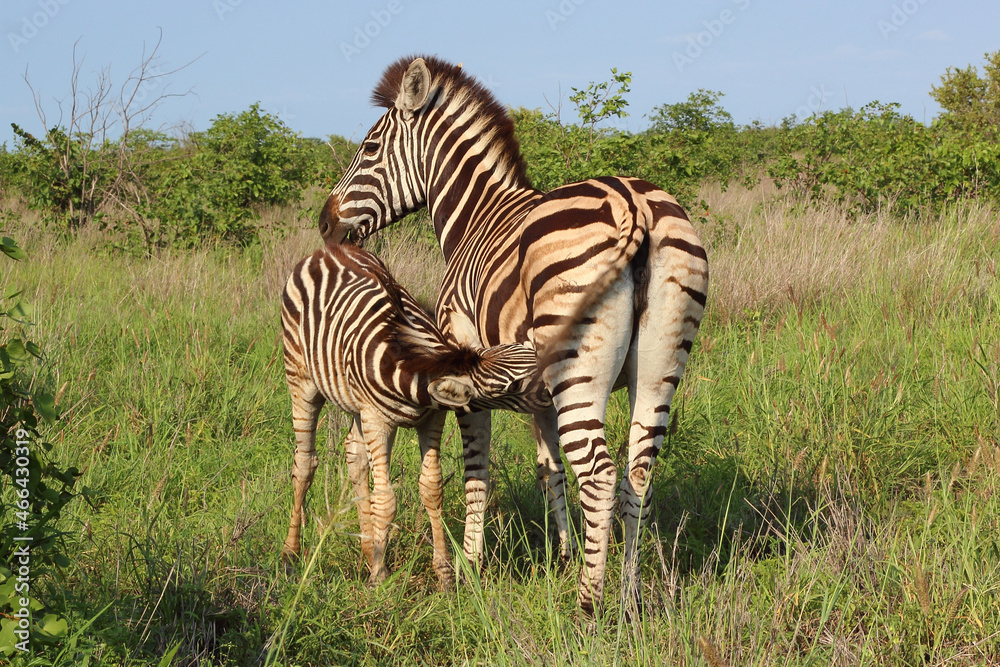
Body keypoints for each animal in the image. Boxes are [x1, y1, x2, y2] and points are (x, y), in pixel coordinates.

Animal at [280, 240, 549, 588]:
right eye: (513, 384)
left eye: (528, 351)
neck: (413, 371)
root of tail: (328, 249)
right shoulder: (377, 420)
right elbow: (385, 500)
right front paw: (379, 576)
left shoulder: (431, 418)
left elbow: (432, 489)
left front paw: (444, 572)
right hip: (301, 381)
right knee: (304, 463)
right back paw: (291, 554)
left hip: (355, 405)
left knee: (354, 456)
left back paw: (367, 547)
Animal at [319, 55, 708, 616]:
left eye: (369, 148)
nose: (324, 225)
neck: (474, 217)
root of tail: (633, 202)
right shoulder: (538, 392)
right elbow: (550, 469)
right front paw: (564, 554)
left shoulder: (467, 367)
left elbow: (476, 469)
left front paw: (468, 568)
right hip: (660, 366)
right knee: (638, 475)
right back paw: (629, 599)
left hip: (579, 372)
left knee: (600, 475)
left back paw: (589, 608)